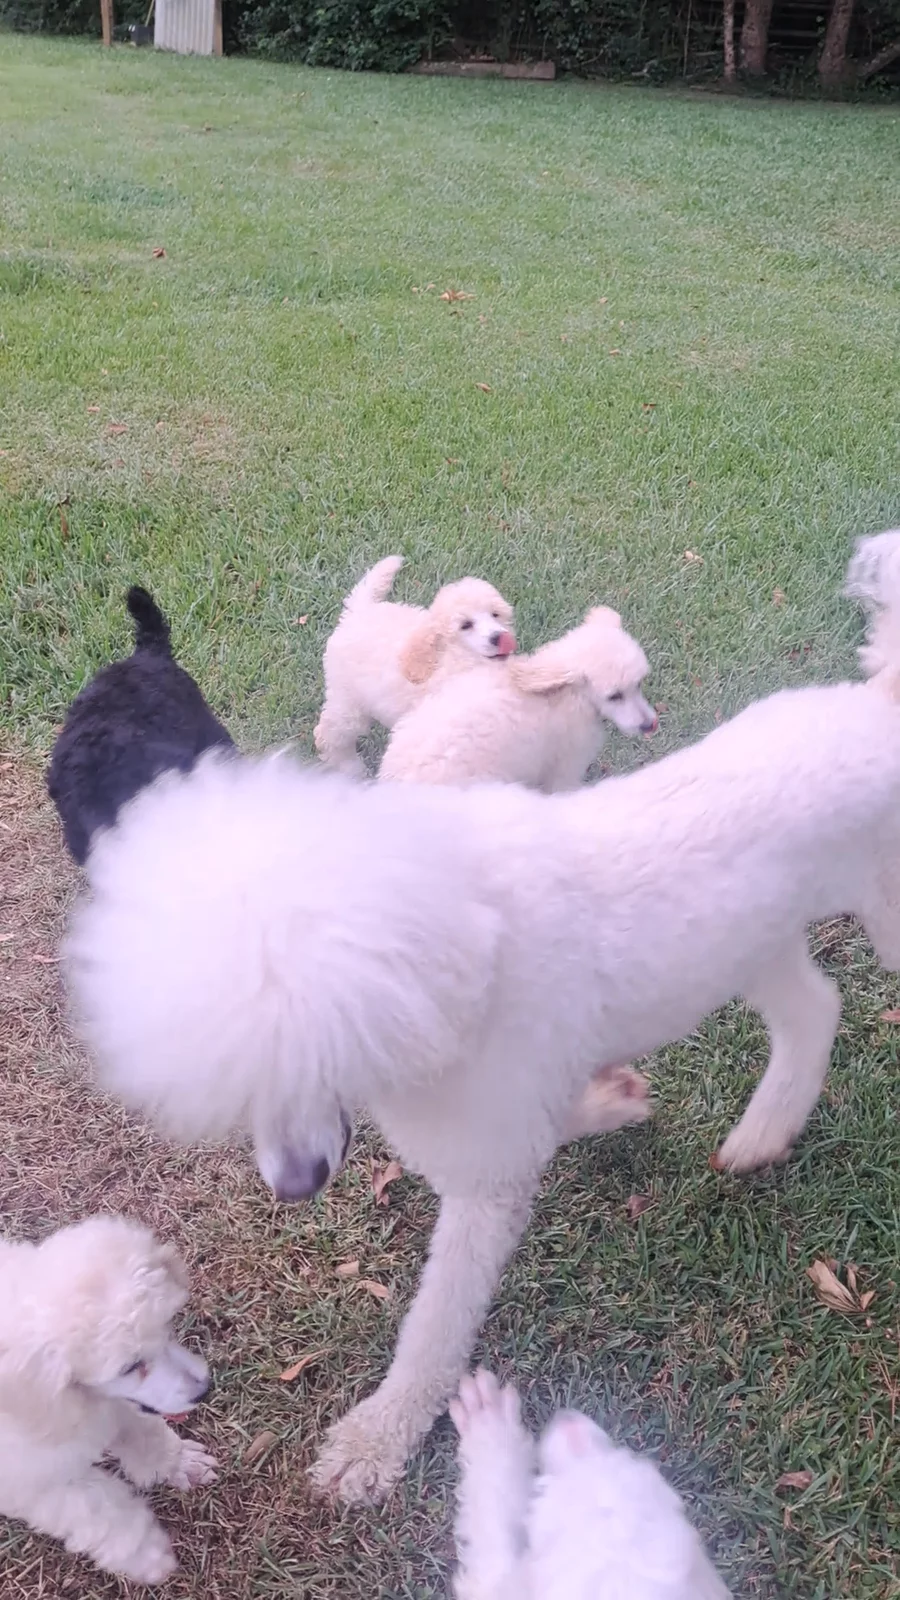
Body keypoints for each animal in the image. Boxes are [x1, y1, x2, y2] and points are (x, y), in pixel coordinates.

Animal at [0, 1215, 216, 1584]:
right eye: (129, 1366)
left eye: (166, 1329)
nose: (204, 1389)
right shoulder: (35, 1484)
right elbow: (100, 1510)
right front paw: (148, 1554)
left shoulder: (115, 1404)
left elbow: (143, 1434)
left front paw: (179, 1464)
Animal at [313, 556, 516, 777]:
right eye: (466, 625)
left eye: (495, 615)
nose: (499, 637)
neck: (457, 658)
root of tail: (358, 611)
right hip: (348, 699)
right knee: (331, 733)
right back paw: (349, 767)